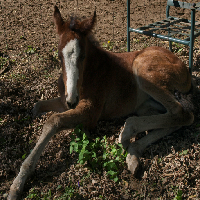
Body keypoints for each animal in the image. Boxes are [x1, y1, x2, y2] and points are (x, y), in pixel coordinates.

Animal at [8, 5, 194, 199]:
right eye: (59, 56)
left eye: (83, 56)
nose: (72, 100)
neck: (90, 73)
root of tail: (185, 69)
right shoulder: (63, 100)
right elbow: (38, 106)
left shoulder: (91, 113)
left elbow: (53, 120)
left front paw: (17, 183)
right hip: (146, 106)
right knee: (174, 120)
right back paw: (133, 155)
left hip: (142, 70)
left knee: (182, 113)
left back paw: (127, 133)